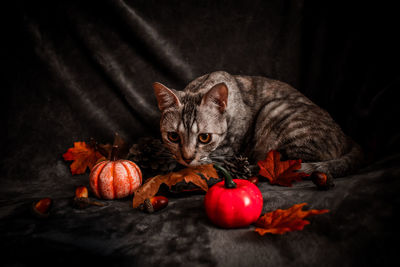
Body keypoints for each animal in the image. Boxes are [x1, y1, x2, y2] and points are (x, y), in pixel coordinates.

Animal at [152, 70, 362, 178]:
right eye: (173, 136)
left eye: (205, 137)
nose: (187, 158)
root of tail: (346, 137)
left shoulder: (228, 150)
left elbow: (209, 160)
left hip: (276, 110)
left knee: (289, 164)